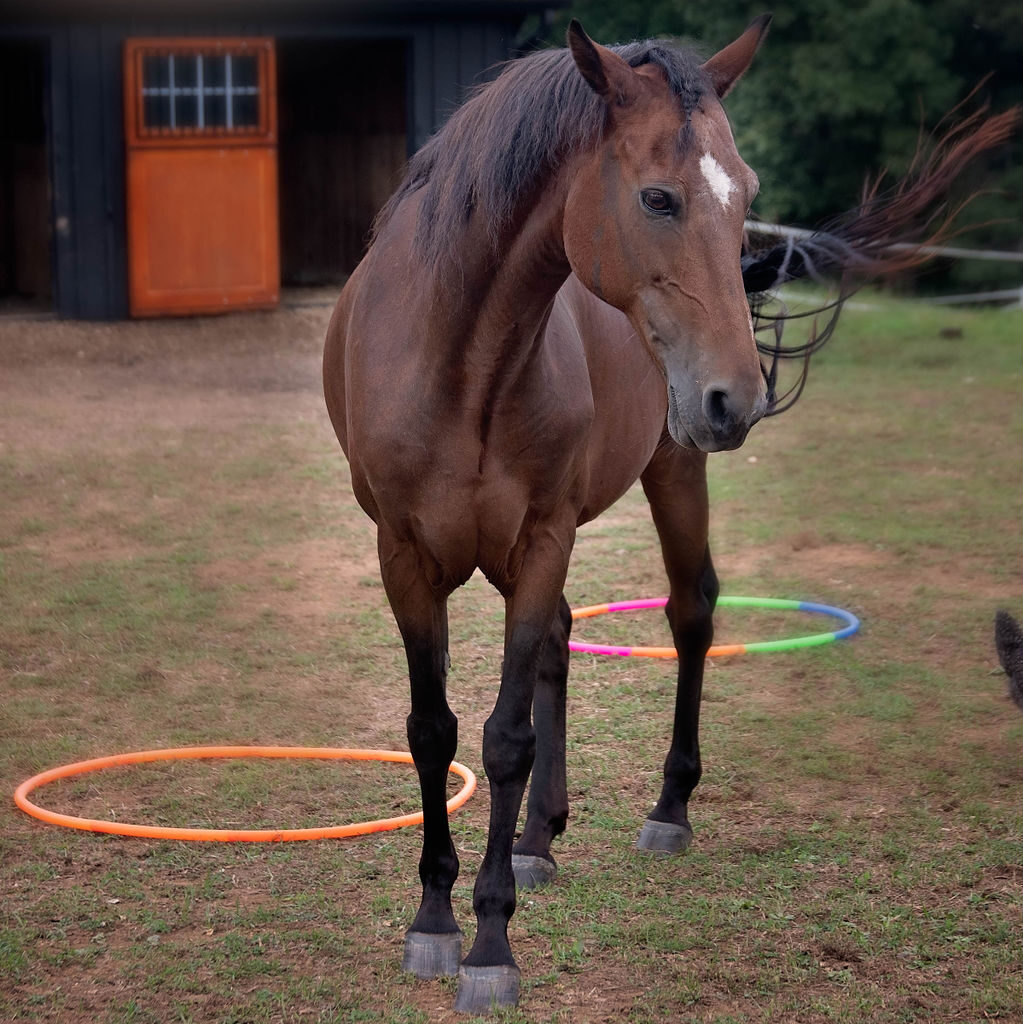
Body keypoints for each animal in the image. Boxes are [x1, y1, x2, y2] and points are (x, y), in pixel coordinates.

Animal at [325, 18, 1015, 1015]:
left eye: (747, 198)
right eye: (657, 197)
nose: (738, 397)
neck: (455, 356)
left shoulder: (542, 536)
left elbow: (503, 739)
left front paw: (490, 943)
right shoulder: (404, 556)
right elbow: (433, 731)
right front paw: (433, 922)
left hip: (671, 470)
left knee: (690, 614)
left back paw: (666, 809)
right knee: (562, 641)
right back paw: (537, 840)